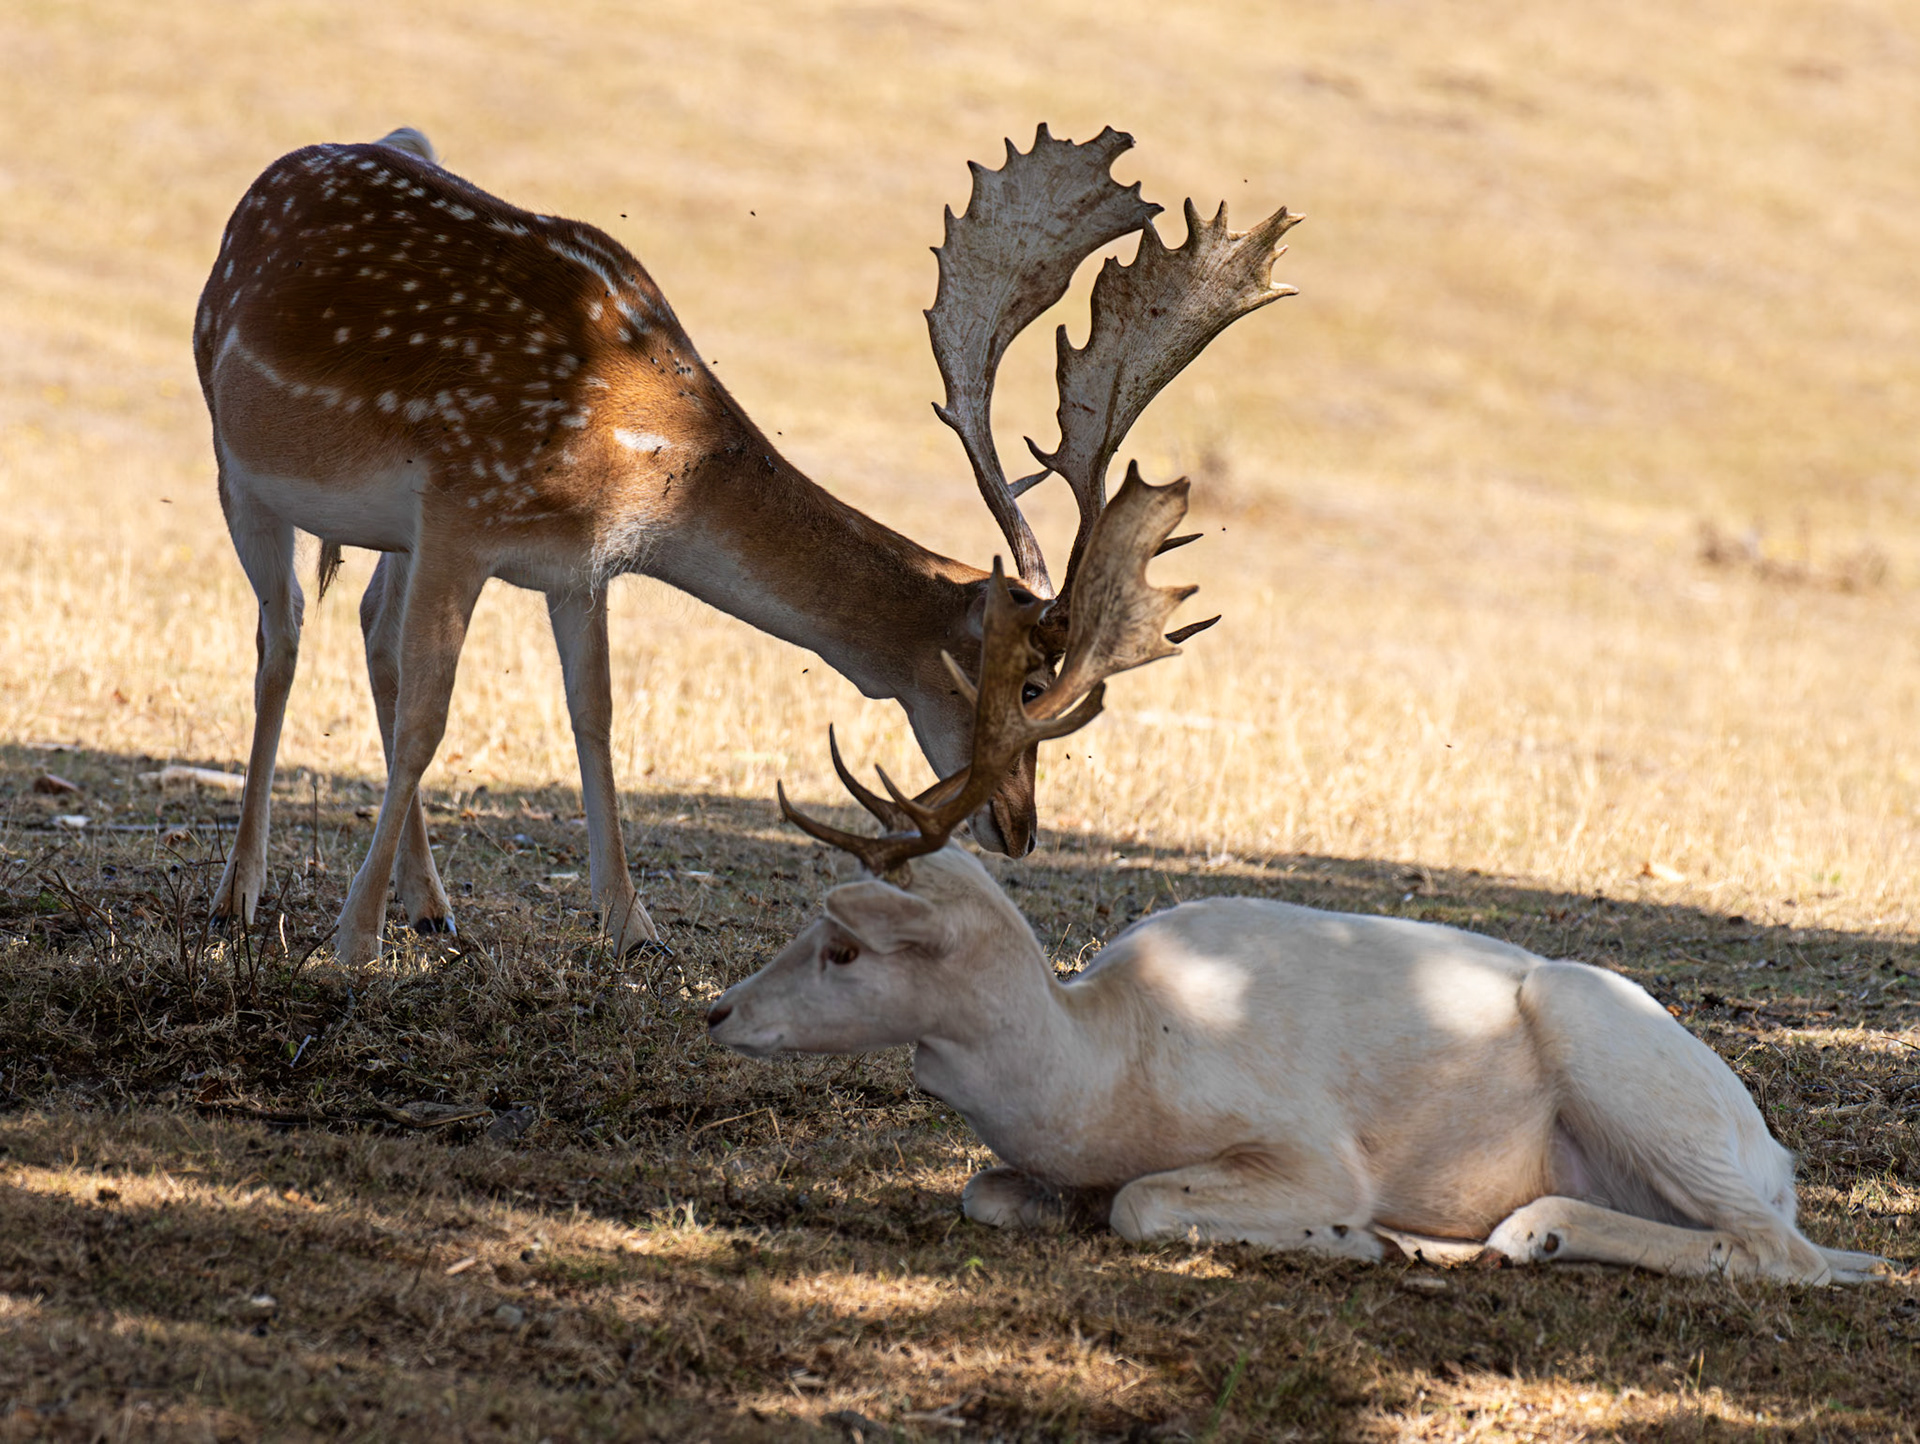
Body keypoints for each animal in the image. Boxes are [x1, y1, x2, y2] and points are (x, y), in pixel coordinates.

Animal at [193, 123, 1297, 964]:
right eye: (1030, 685)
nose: (1021, 830)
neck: (637, 454)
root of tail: (261, 186)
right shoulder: (467, 507)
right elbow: (431, 719)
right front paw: (351, 939)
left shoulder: (573, 567)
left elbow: (594, 716)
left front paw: (633, 927)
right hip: (238, 461)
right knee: (283, 635)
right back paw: (240, 894)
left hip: (389, 532)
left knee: (369, 627)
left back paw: (432, 905)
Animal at [706, 475, 1895, 1285]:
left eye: (844, 945)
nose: (717, 1012)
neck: (1102, 1073)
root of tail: (1774, 1150)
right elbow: (983, 1190)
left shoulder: (1301, 1138)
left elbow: (1143, 1205)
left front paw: (1341, 1232)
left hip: (1628, 1066)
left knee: (1790, 1251)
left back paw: (1519, 1230)